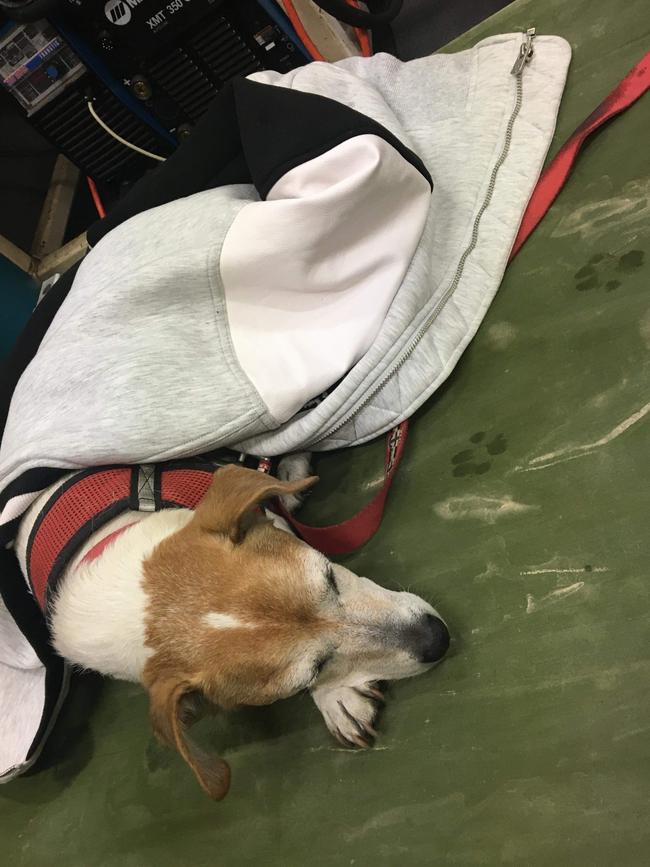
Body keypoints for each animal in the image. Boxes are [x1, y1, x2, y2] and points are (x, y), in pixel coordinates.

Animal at [16, 458, 450, 804]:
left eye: (329, 575)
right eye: (310, 672)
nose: (438, 639)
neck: (130, 604)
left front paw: (337, 699)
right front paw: (335, 696)